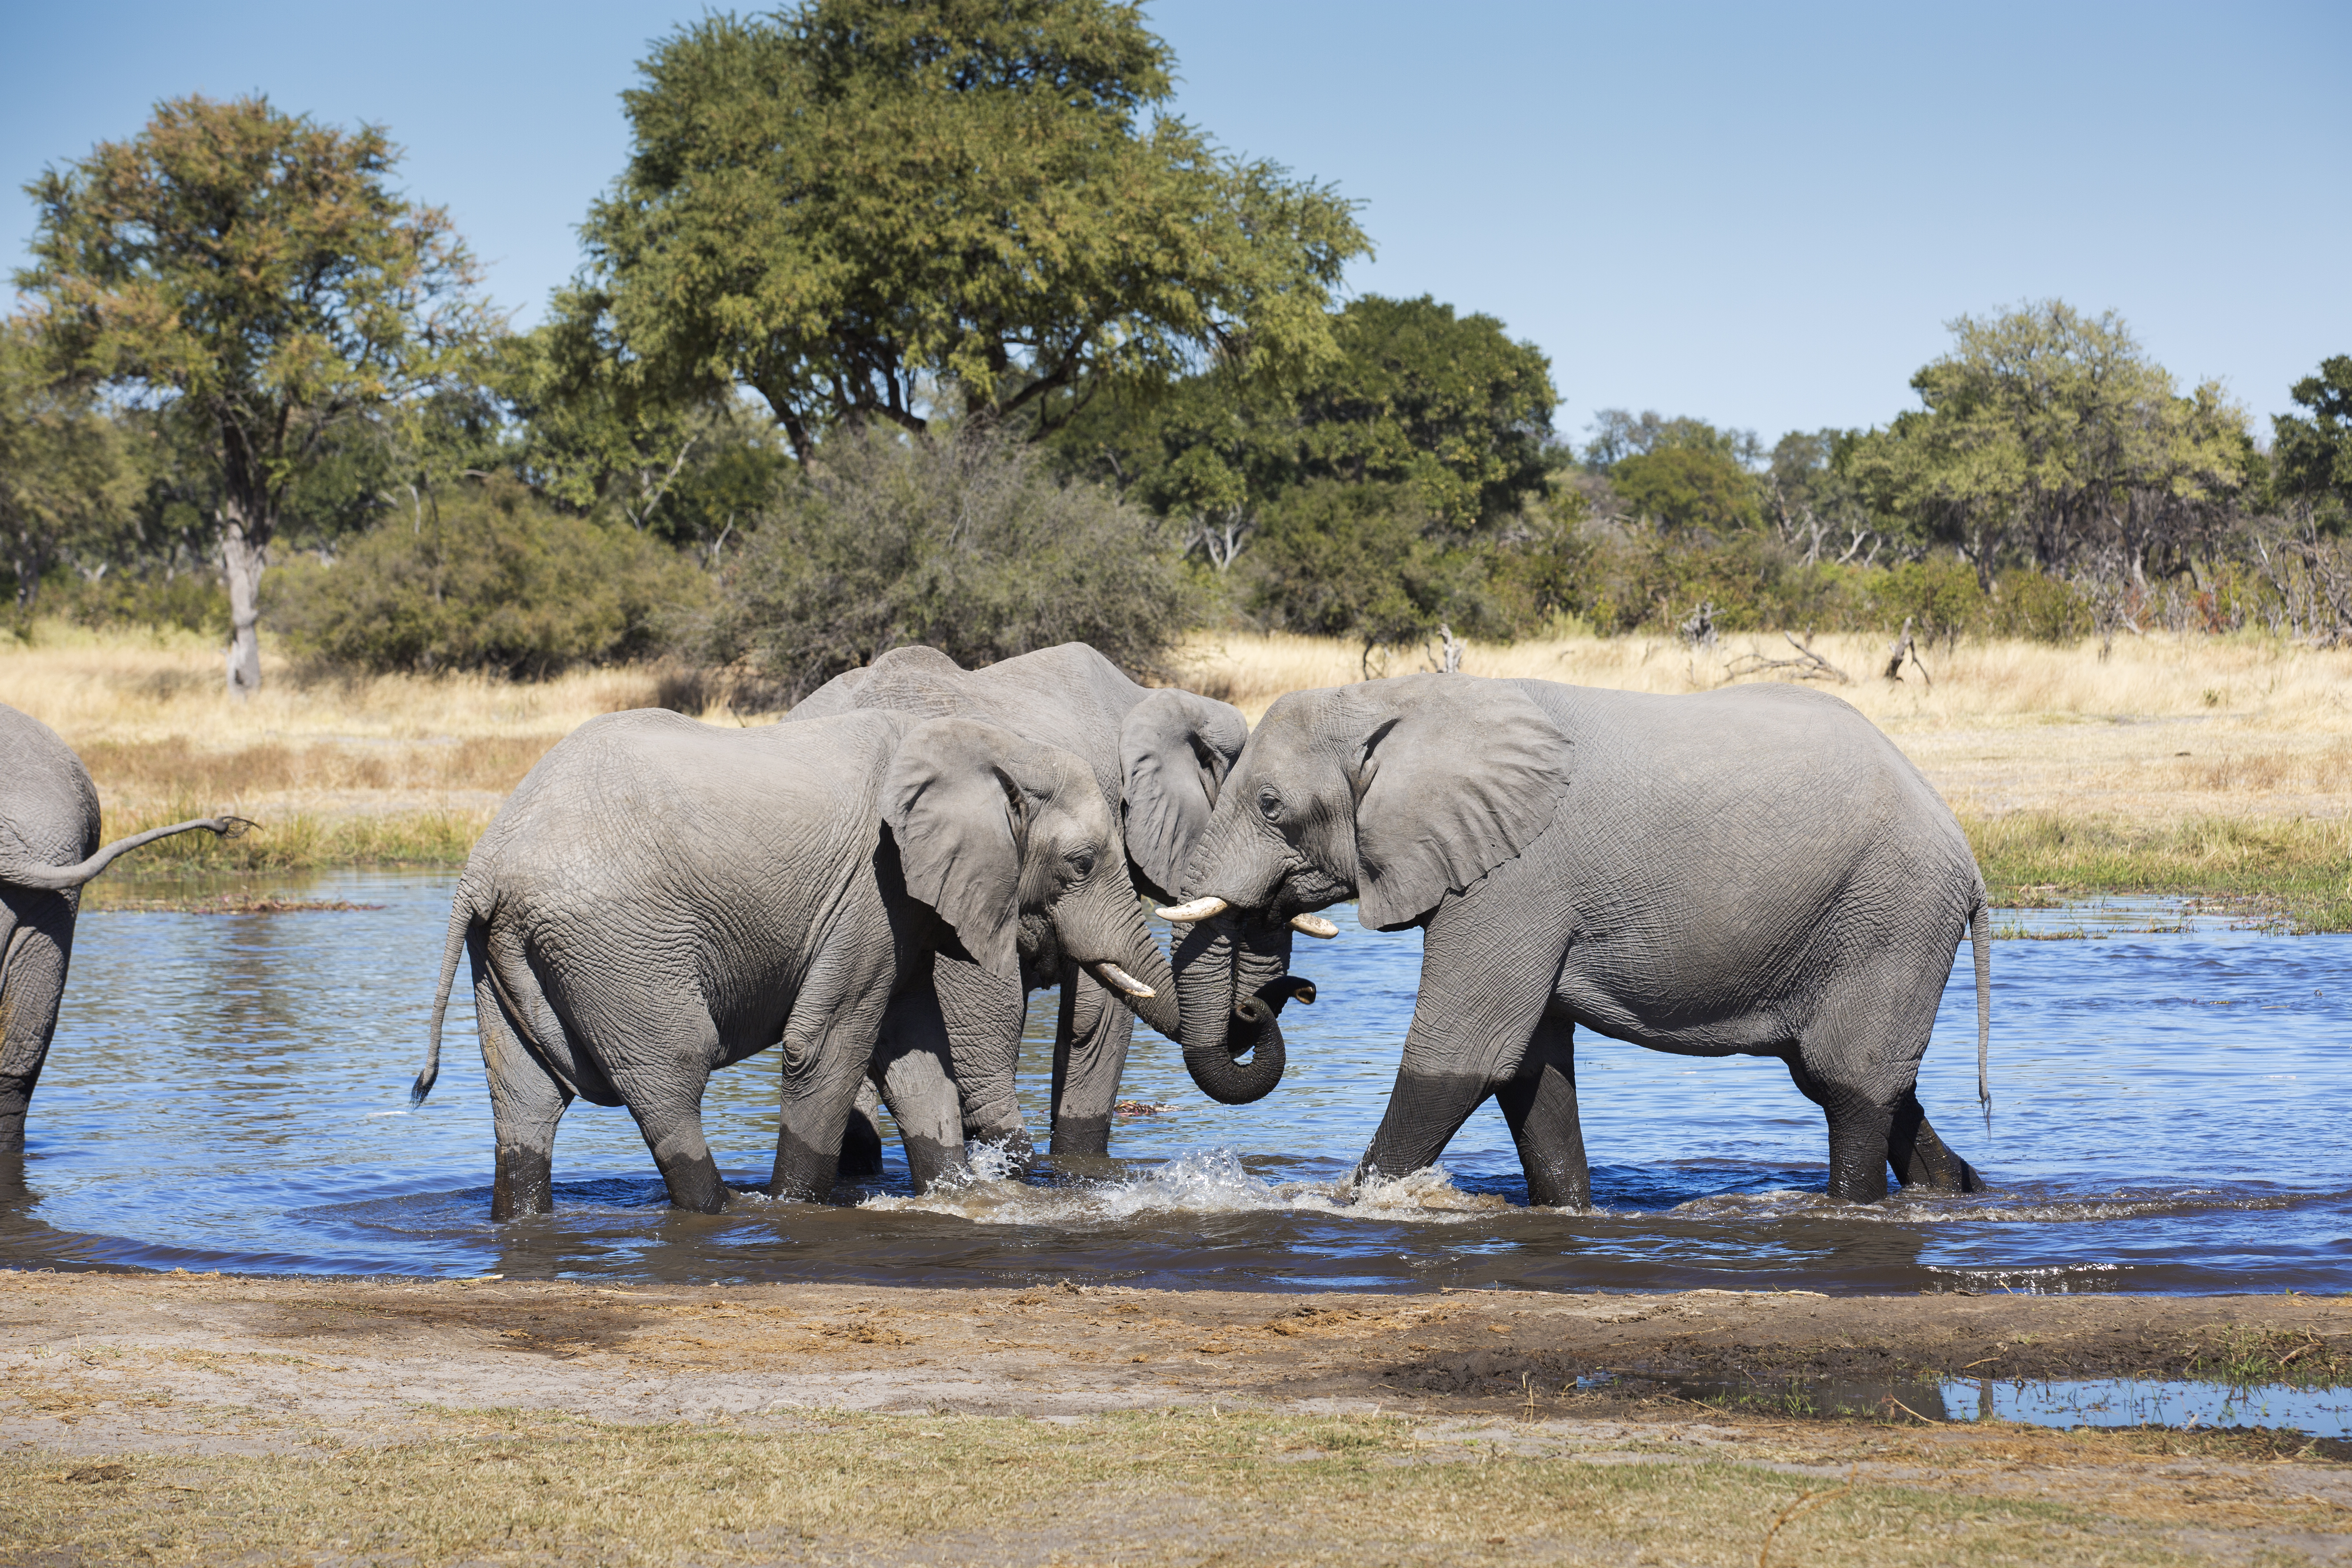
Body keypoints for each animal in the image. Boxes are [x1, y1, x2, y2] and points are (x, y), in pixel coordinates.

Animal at [409, 706, 1178, 1217]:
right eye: (1081, 864)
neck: (989, 744)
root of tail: (485, 863)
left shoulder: (897, 911)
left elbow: (913, 1054)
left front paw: (957, 1194)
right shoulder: (870, 888)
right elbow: (824, 1045)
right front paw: (796, 1207)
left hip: (506, 951)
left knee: (526, 1098)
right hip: (618, 950)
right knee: (671, 1079)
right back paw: (725, 1209)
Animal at [1165, 674, 1992, 1207]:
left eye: (1271, 805)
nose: (1281, 996)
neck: (1402, 698)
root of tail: (1964, 848)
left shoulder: (1514, 878)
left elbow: (1463, 1058)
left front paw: (1348, 1205)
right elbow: (1530, 1071)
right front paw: (1568, 1212)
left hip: (1891, 916)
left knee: (1849, 1089)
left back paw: (1853, 1207)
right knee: (1861, 1083)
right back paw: (1961, 1192)